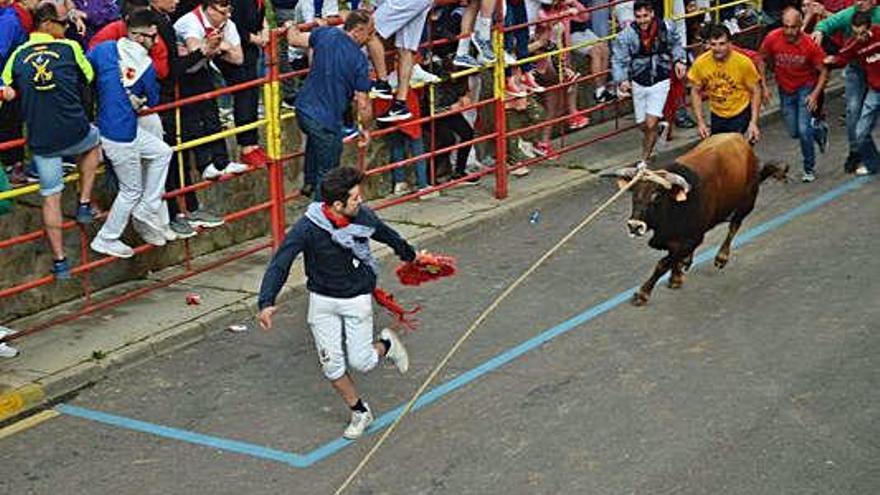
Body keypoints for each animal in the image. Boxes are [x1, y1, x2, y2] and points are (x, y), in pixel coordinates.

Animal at [600, 134, 788, 304]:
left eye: (657, 196)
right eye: (634, 194)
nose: (634, 226)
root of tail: (743, 142)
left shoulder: (693, 237)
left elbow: (663, 263)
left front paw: (643, 293)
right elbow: (672, 259)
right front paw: (676, 277)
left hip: (746, 203)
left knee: (734, 226)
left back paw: (721, 257)